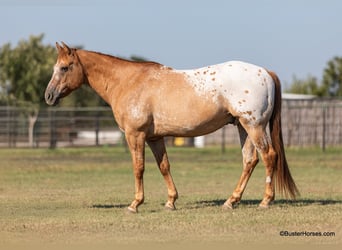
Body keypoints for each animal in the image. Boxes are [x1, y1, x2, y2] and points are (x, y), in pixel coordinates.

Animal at [44, 42, 300, 213]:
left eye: (64, 67)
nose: (49, 96)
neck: (128, 82)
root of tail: (265, 72)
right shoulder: (155, 138)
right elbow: (163, 166)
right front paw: (170, 201)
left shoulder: (135, 135)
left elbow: (138, 168)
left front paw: (135, 204)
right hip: (242, 127)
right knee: (249, 160)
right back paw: (231, 201)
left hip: (254, 126)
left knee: (268, 156)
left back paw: (265, 201)